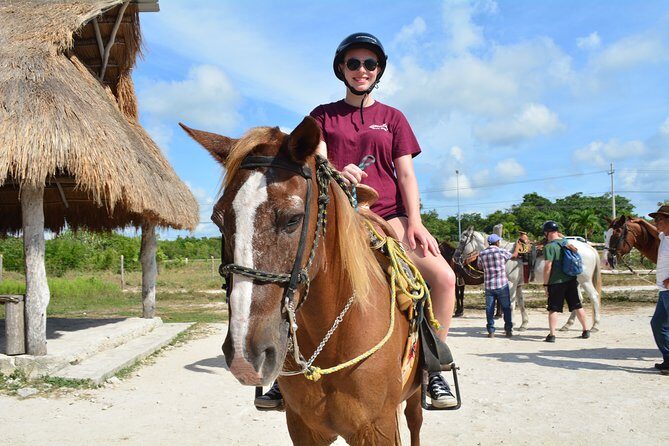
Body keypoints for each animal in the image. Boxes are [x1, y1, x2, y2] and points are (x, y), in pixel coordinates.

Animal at [181, 117, 425, 445]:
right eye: (219, 220)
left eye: (293, 219)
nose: (245, 355)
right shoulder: (303, 428)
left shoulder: (379, 429)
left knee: (415, 421)